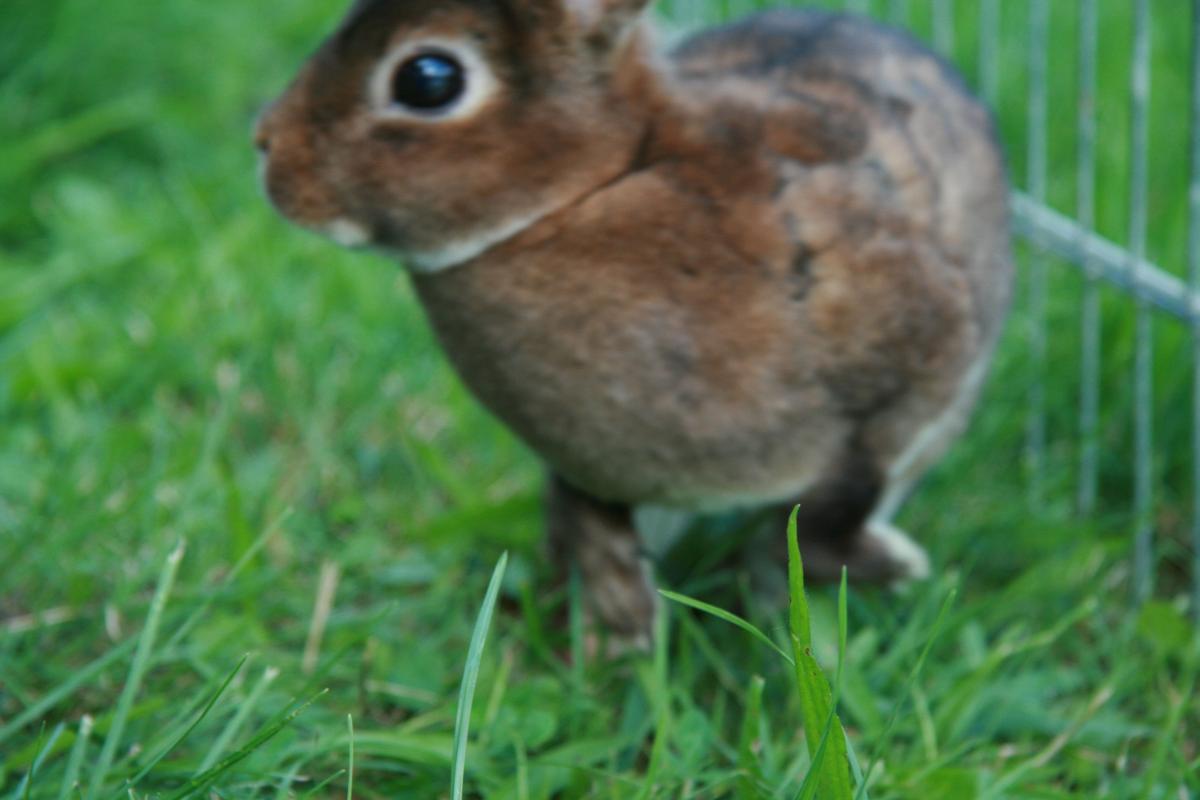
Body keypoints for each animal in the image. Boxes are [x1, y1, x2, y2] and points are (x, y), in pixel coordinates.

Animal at [256, 0, 1012, 647]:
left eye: (428, 79)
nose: (267, 145)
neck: (591, 189)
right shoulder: (587, 460)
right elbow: (591, 516)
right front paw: (623, 628)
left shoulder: (914, 372)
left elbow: (828, 512)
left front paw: (885, 570)